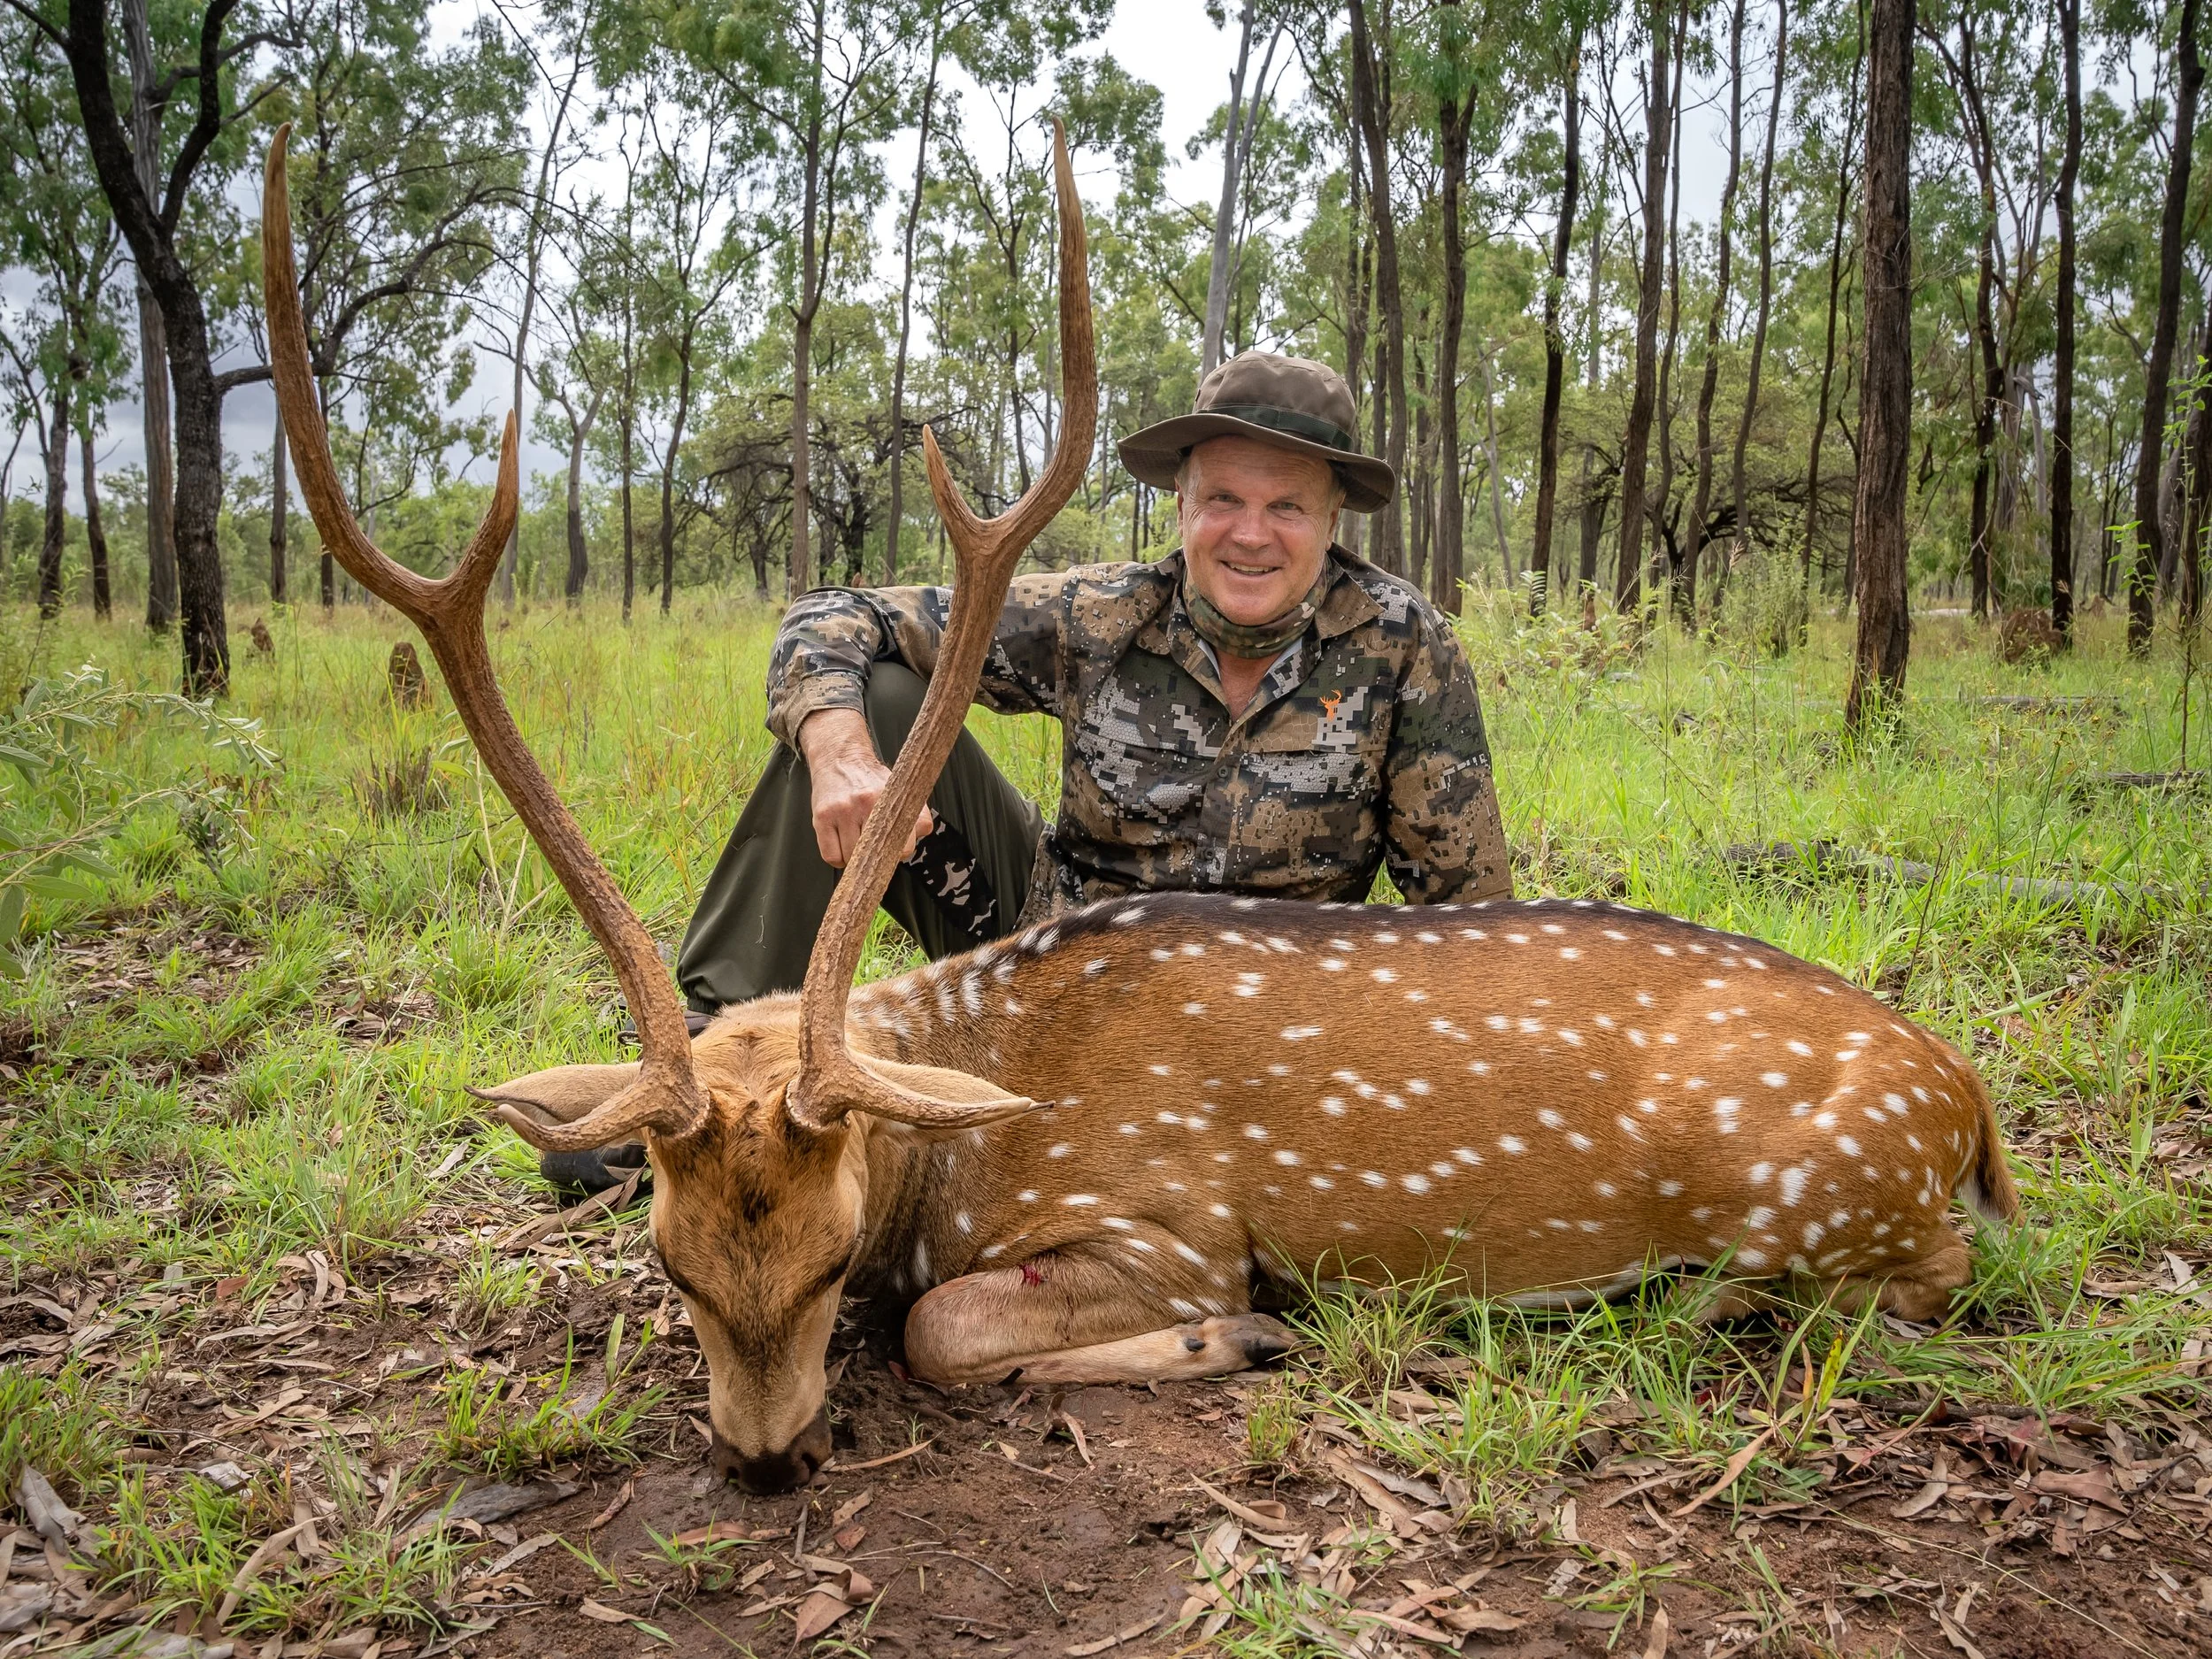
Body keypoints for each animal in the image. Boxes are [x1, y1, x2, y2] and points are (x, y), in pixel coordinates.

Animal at [262, 124, 2019, 1496]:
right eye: (668, 1260)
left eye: (832, 1250)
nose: (765, 1460)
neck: (962, 1139)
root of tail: (1975, 1111)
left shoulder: (1168, 1217)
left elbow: (949, 1322)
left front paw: (1237, 1333)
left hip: (1827, 1197)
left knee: (1930, 1280)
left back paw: (1688, 1304)